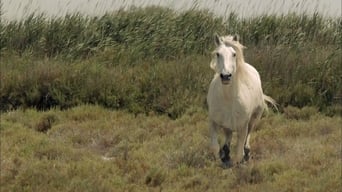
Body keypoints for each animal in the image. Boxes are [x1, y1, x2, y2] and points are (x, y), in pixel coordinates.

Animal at [207, 34, 276, 168]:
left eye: (234, 54)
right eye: (218, 54)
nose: (226, 76)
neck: (228, 99)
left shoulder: (243, 125)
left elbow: (239, 152)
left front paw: (239, 161)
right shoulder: (214, 122)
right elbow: (214, 147)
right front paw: (222, 157)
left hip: (254, 118)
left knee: (248, 135)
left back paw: (247, 153)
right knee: (228, 136)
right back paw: (226, 154)